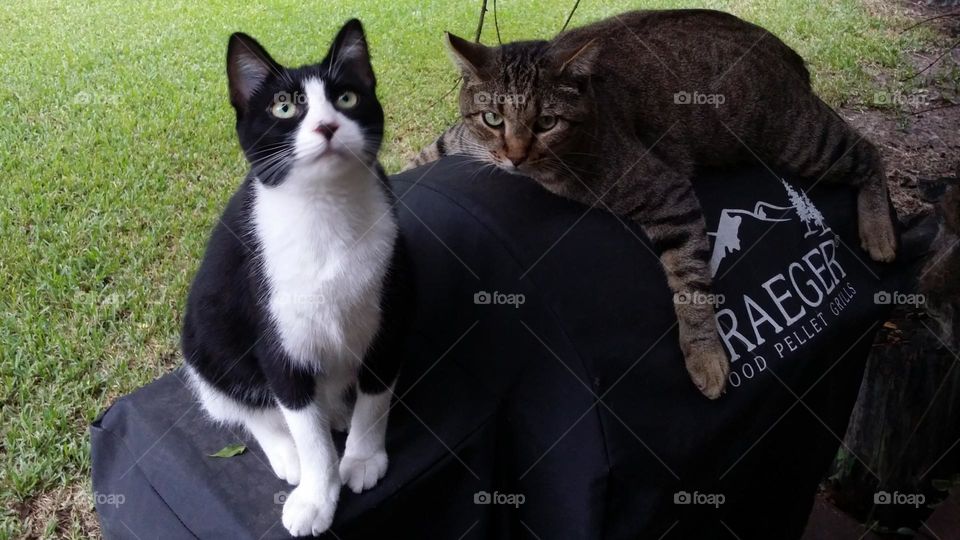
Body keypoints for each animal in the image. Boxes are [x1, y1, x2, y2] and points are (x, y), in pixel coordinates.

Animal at [180, 21, 404, 536]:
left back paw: (338, 410)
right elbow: (302, 423)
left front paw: (363, 457)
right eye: (284, 107)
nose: (326, 126)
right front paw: (317, 496)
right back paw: (288, 451)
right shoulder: (274, 331)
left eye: (346, 98)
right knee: (243, 403)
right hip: (204, 339)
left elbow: (376, 395)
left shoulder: (390, 308)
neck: (324, 209)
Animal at [406, 6, 900, 398]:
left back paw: (880, 232)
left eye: (546, 122)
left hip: (800, 143)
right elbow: (423, 156)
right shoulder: (458, 139)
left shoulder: (669, 192)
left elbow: (691, 284)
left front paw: (704, 355)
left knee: (869, 150)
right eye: (492, 117)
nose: (514, 155)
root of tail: (779, 45)